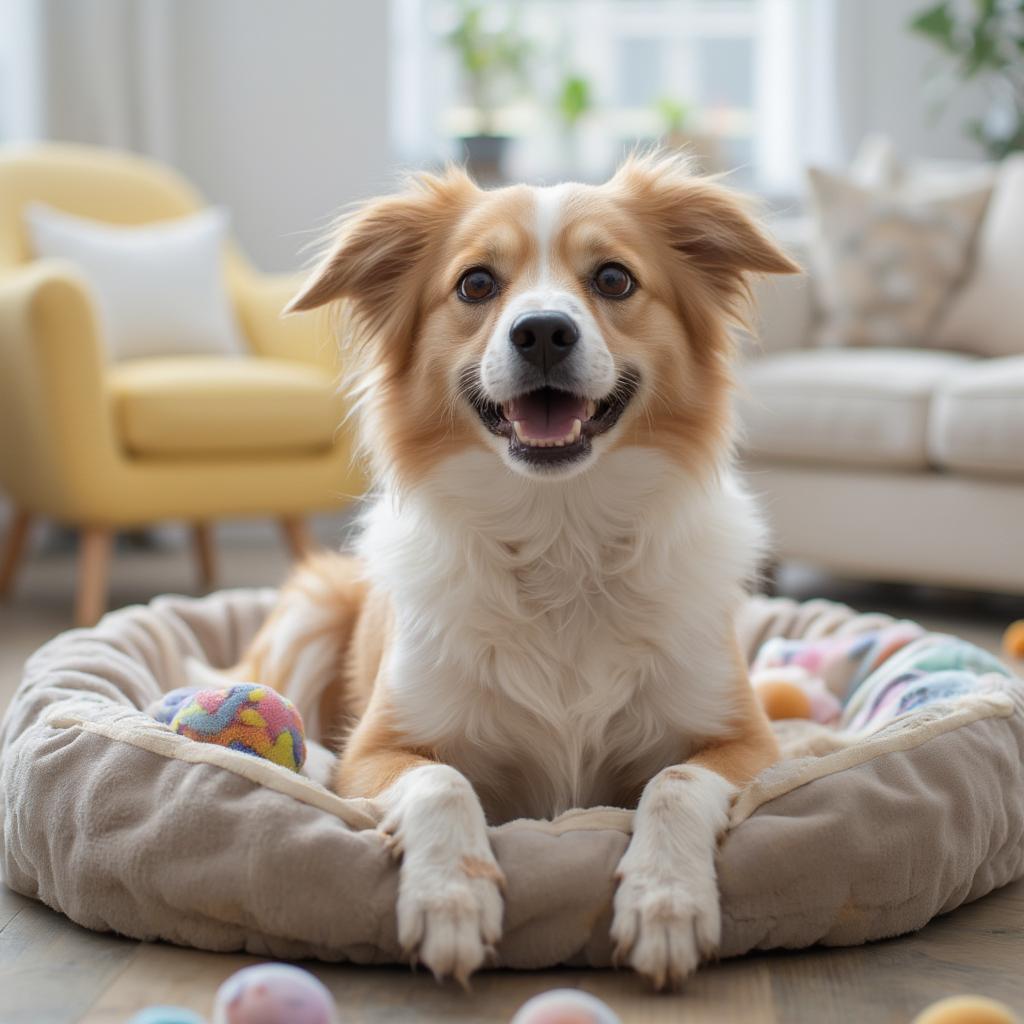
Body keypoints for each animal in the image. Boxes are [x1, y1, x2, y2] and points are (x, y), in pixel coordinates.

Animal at [237, 149, 798, 983]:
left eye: (613, 279)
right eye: (475, 284)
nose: (542, 333)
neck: (558, 535)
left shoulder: (749, 743)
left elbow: (673, 782)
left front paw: (665, 901)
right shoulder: (380, 749)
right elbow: (441, 783)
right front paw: (450, 899)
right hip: (311, 612)